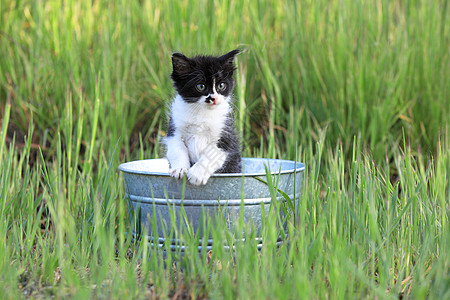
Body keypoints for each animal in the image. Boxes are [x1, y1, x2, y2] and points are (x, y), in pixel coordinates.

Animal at [165, 49, 243, 185]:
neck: (201, 113)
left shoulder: (225, 137)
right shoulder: (174, 129)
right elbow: (177, 149)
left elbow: (211, 154)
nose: (213, 98)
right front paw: (180, 169)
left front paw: (197, 174)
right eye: (200, 86)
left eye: (221, 85)